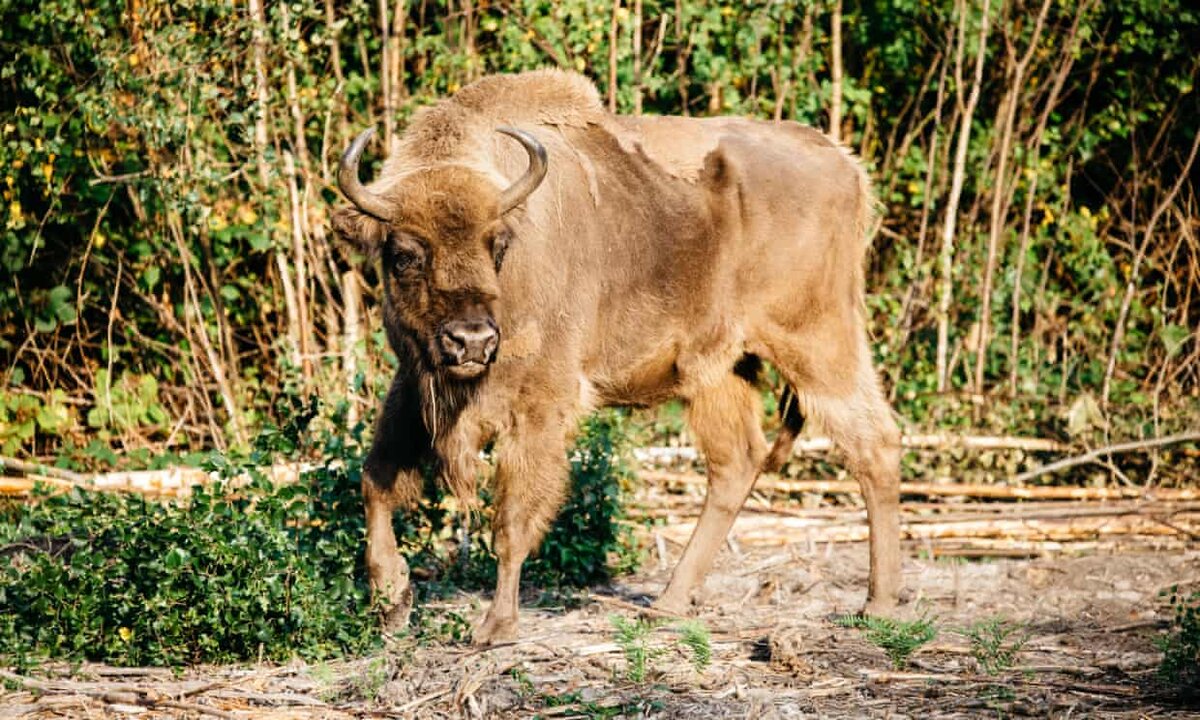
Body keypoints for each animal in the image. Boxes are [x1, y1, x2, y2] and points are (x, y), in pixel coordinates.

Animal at [331, 69, 902, 643]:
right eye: (404, 255)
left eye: (498, 246)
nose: (472, 341)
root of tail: (844, 164)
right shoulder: (412, 386)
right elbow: (375, 480)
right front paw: (392, 600)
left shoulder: (538, 408)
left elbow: (512, 520)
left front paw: (496, 626)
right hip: (722, 370)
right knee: (736, 464)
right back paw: (668, 604)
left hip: (817, 343)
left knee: (873, 444)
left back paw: (878, 605)